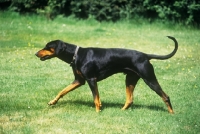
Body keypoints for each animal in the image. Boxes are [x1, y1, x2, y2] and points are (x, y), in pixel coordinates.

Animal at [35, 35, 177, 113]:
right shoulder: (79, 81)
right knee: (130, 99)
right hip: (130, 79)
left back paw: (172, 113)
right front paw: (53, 102)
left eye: (47, 47)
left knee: (165, 96)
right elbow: (62, 91)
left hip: (149, 79)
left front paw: (98, 112)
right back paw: (121, 111)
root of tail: (145, 55)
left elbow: (96, 98)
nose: (36, 53)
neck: (76, 55)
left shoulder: (91, 79)